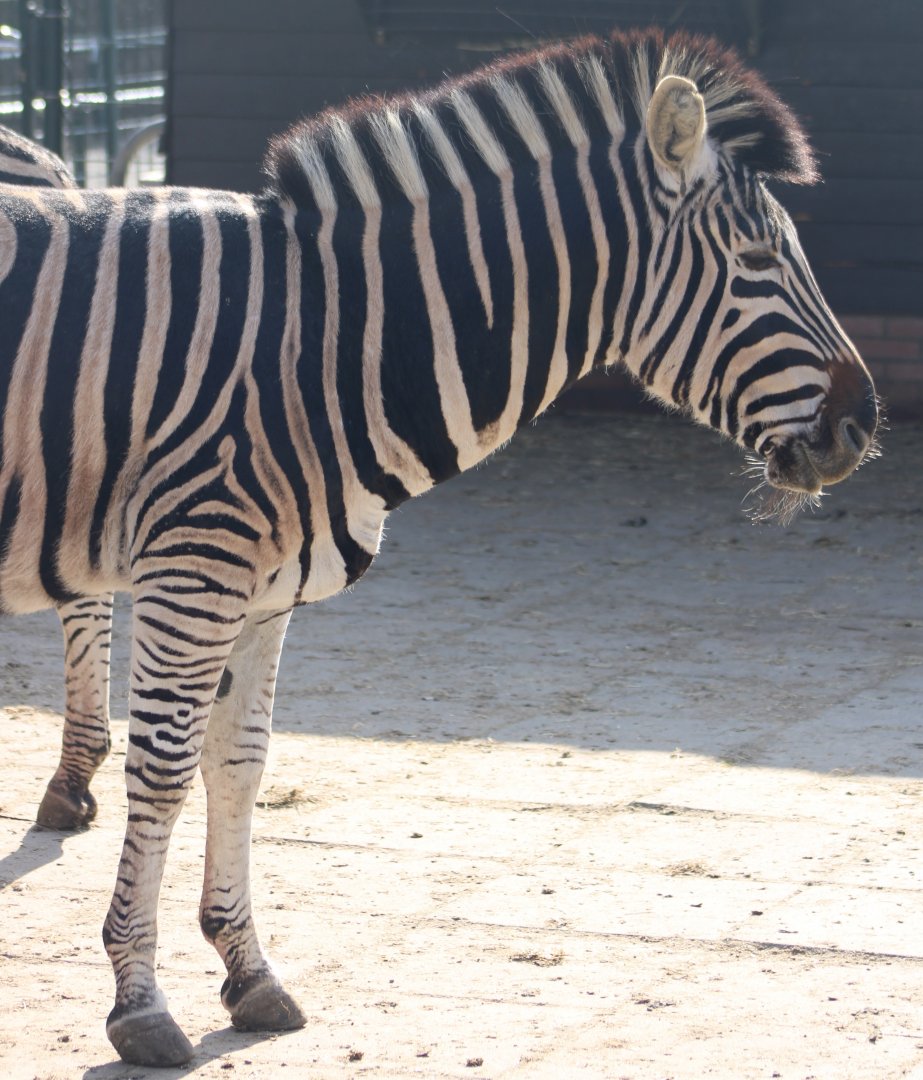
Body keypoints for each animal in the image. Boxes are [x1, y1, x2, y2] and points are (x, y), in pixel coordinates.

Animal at [0, 28, 877, 1066]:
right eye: (755, 258)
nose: (863, 427)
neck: (323, 344)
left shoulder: (260, 593)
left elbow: (239, 763)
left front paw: (248, 974)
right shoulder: (194, 570)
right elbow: (167, 770)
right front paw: (139, 1003)